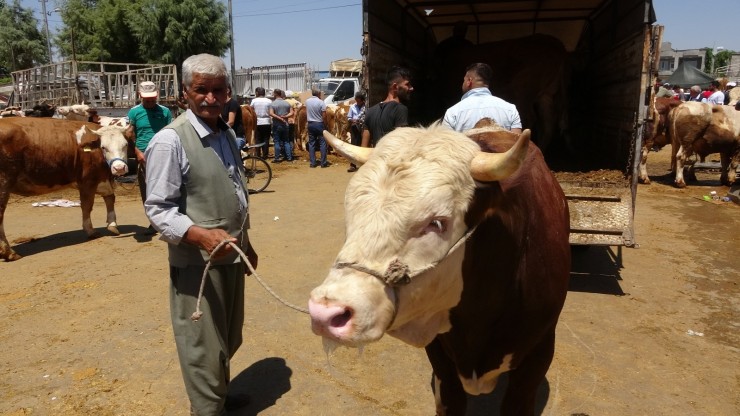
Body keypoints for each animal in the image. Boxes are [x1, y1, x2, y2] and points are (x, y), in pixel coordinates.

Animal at [0, 117, 129, 260]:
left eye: (125, 145)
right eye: (104, 147)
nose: (119, 168)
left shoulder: (102, 179)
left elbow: (110, 198)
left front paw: (112, 224)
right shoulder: (87, 181)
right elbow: (87, 206)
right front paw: (91, 231)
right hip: (3, 182)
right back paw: (9, 252)